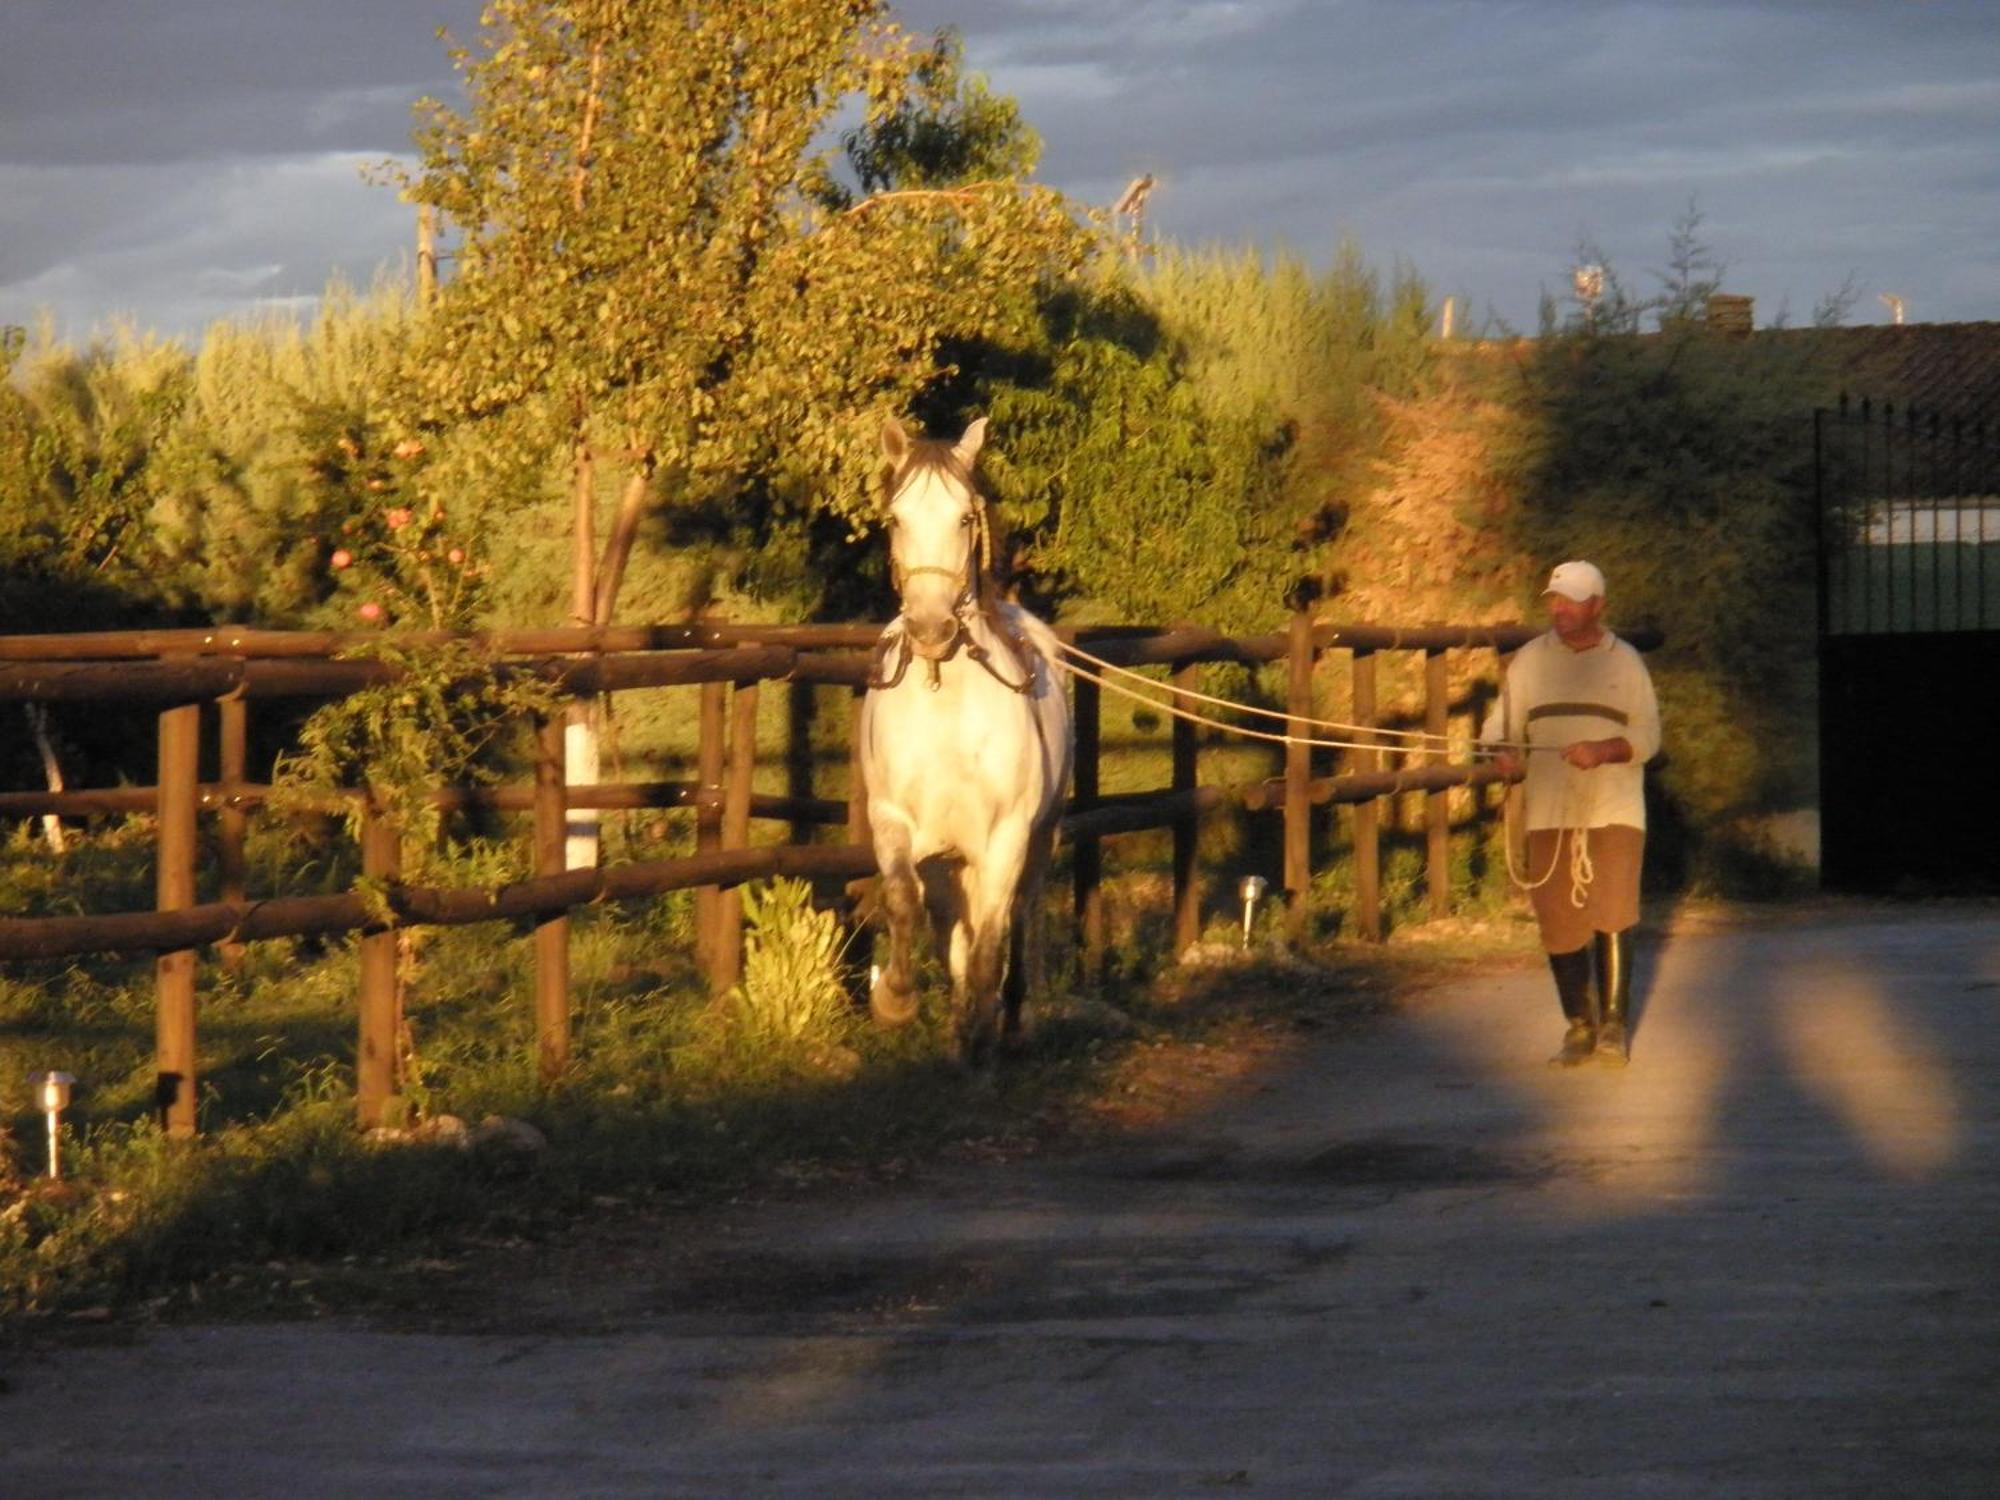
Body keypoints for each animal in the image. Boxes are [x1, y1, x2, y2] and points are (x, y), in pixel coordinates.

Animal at [864, 418, 1080, 1064]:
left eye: (964, 517)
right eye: (896, 519)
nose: (931, 629)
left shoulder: (1007, 836)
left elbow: (990, 939)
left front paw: (984, 1032)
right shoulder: (894, 823)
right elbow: (905, 903)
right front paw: (896, 1001)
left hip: (1039, 838)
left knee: (1021, 913)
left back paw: (1009, 1017)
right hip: (949, 859)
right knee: (949, 926)